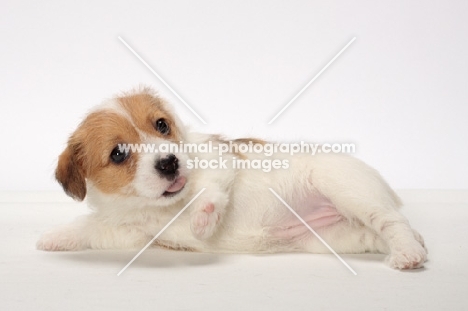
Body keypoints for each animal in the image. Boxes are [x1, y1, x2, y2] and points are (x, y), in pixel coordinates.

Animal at [37, 87, 428, 270]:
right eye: (118, 153)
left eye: (161, 125)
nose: (169, 163)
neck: (165, 205)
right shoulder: (129, 231)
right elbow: (89, 228)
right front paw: (55, 238)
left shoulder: (218, 160)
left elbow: (210, 188)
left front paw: (205, 216)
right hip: (334, 236)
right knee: (377, 232)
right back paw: (413, 247)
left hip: (346, 187)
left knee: (392, 220)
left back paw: (407, 253)